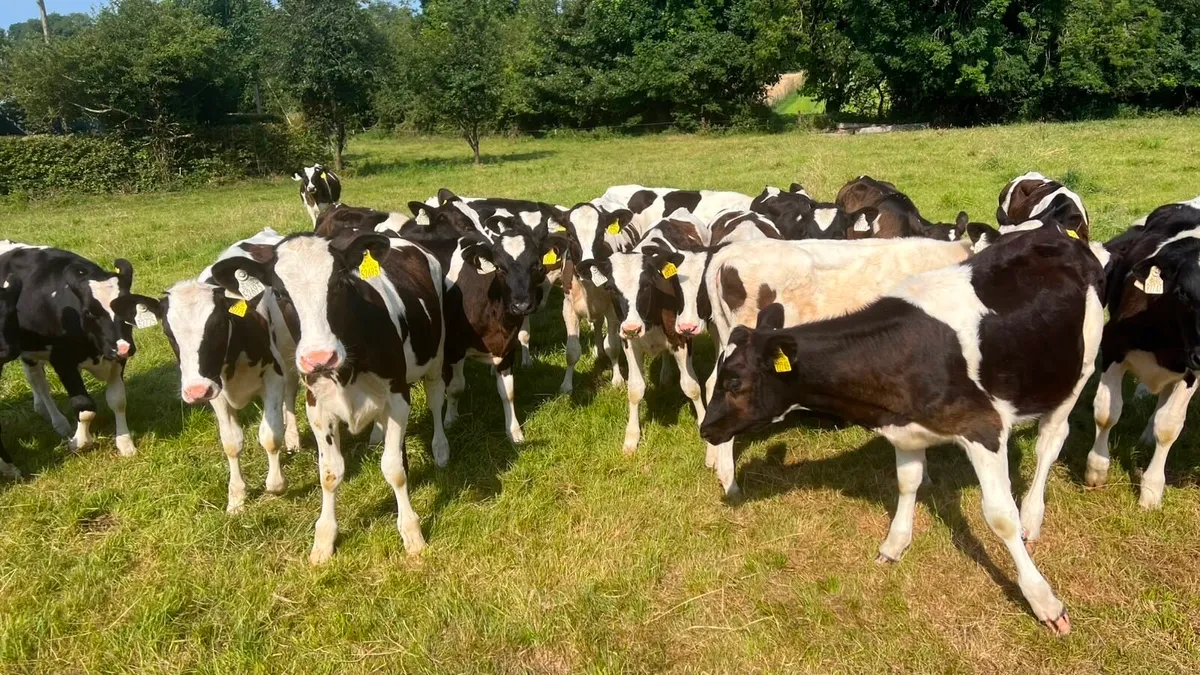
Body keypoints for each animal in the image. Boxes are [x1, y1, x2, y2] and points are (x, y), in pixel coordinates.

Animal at [0, 242, 144, 455]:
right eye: (90, 312)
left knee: (35, 378)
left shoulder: (117, 359)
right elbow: (84, 407)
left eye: (129, 307)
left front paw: (125, 443)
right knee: (41, 383)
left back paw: (41, 409)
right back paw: (59, 422)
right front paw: (80, 442)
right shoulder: (63, 361)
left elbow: (118, 400)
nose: (124, 348)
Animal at [113, 230, 302, 514]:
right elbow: (232, 442)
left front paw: (276, 484)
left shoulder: (273, 376)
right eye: (168, 332)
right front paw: (237, 497)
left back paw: (293, 437)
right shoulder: (217, 390)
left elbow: (270, 435)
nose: (196, 391)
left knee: (289, 396)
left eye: (218, 326)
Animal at [209, 230, 448, 564]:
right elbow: (330, 473)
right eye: (280, 293)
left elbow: (394, 470)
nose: (319, 358)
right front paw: (324, 539)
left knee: (437, 398)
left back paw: (440, 448)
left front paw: (412, 533)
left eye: (338, 283)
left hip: (436, 357)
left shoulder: (398, 398)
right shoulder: (318, 409)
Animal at [403, 204, 550, 444]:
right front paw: (450, 419)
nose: (521, 305)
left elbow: (508, 392)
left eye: (536, 265)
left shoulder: (507, 348)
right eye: (499, 268)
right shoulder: (453, 349)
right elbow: (455, 387)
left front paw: (514, 432)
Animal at [1086, 199, 1200, 509]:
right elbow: (1106, 412)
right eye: (1183, 293)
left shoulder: (1192, 372)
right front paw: (1096, 469)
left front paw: (1151, 489)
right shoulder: (1113, 348)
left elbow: (1169, 425)